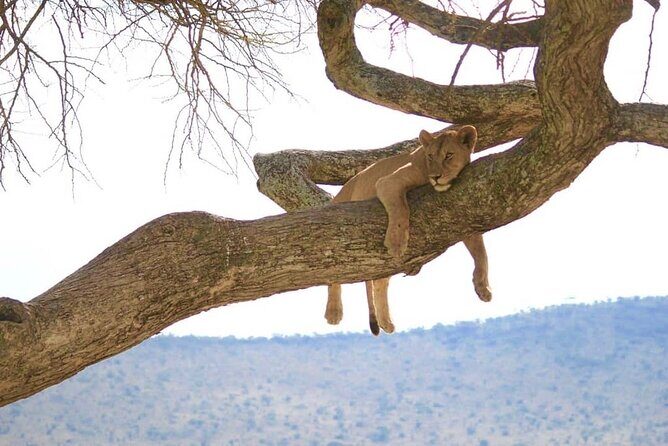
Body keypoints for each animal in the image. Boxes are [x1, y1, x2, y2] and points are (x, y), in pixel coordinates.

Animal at [325, 126, 492, 335]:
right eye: (430, 156)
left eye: (449, 155)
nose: (436, 177)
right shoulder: (388, 182)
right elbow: (400, 208)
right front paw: (396, 243)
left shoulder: (462, 215)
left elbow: (481, 251)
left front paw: (483, 286)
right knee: (334, 275)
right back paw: (334, 312)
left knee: (379, 282)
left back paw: (386, 322)